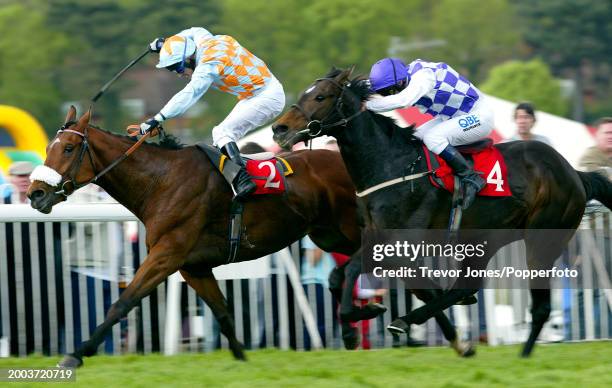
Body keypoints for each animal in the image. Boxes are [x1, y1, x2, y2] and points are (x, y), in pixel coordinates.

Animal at [25, 107, 468, 368]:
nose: (35, 194)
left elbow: (123, 301)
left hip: (354, 231)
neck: (160, 181)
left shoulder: (167, 255)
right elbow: (223, 313)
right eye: (48, 147)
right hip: (329, 236)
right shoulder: (194, 266)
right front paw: (241, 360)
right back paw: (445, 337)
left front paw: (75, 355)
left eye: (67, 148)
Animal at [272, 67, 612, 358]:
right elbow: (336, 275)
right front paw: (359, 320)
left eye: (321, 96)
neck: (391, 165)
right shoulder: (376, 238)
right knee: (466, 287)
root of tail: (574, 173)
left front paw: (357, 320)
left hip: (542, 240)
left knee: (538, 306)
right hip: (485, 239)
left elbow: (354, 270)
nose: (279, 128)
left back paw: (520, 354)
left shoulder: (402, 244)